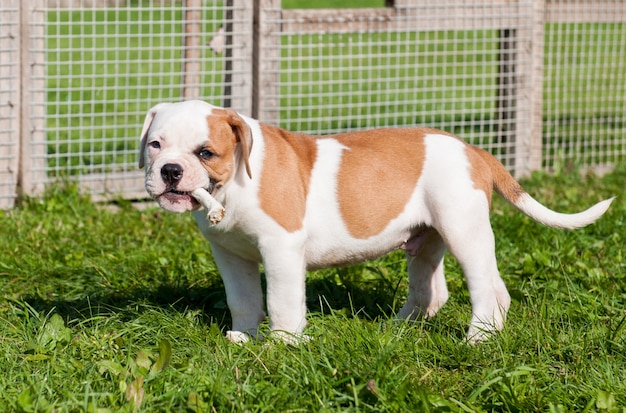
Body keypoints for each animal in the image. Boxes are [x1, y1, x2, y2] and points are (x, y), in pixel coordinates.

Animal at [138, 99, 608, 342]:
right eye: (155, 145)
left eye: (205, 153)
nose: (170, 171)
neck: (233, 184)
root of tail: (474, 150)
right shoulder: (230, 256)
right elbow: (244, 300)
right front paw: (245, 337)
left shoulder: (281, 249)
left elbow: (282, 302)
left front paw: (283, 345)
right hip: (428, 239)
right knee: (439, 290)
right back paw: (397, 329)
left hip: (464, 231)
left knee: (482, 288)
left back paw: (478, 338)